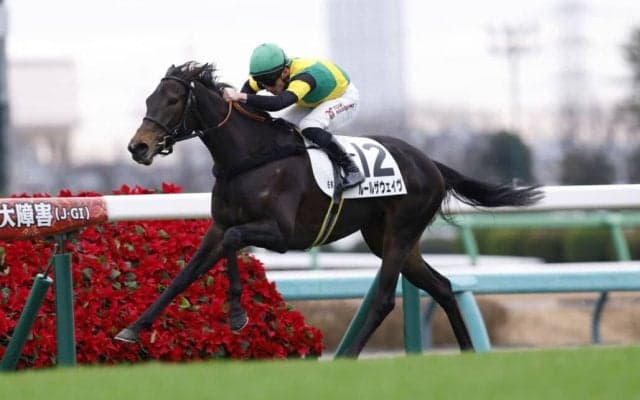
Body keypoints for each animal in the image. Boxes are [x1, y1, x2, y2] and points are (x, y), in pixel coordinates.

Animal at [118, 61, 542, 357]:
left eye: (173, 100)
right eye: (149, 100)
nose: (138, 147)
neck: (252, 157)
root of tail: (432, 164)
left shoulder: (282, 234)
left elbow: (236, 242)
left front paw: (237, 315)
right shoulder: (219, 226)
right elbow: (184, 275)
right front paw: (132, 329)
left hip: (400, 232)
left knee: (385, 298)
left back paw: (349, 355)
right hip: (389, 238)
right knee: (442, 286)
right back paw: (468, 351)